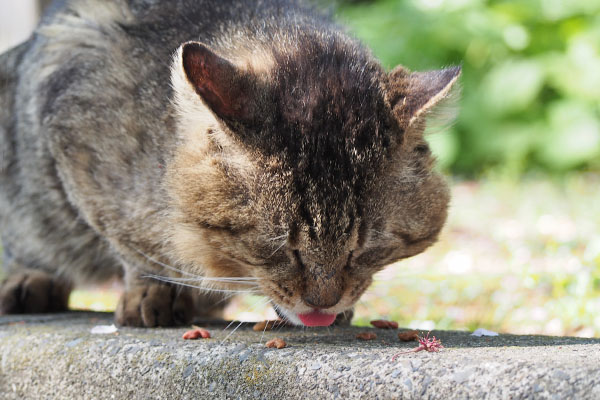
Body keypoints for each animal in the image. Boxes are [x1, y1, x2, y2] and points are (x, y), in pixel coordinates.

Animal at [0, 0, 460, 326]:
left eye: (363, 250)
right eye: (282, 248)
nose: (323, 303)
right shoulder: (77, 153)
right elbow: (132, 243)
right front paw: (153, 288)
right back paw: (28, 279)